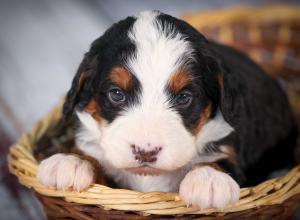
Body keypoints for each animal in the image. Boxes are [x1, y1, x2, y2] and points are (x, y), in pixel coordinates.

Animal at [36, 11, 296, 211]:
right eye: (117, 94)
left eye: (183, 98)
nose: (146, 151)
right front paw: (71, 161)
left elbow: (221, 161)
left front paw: (209, 179)